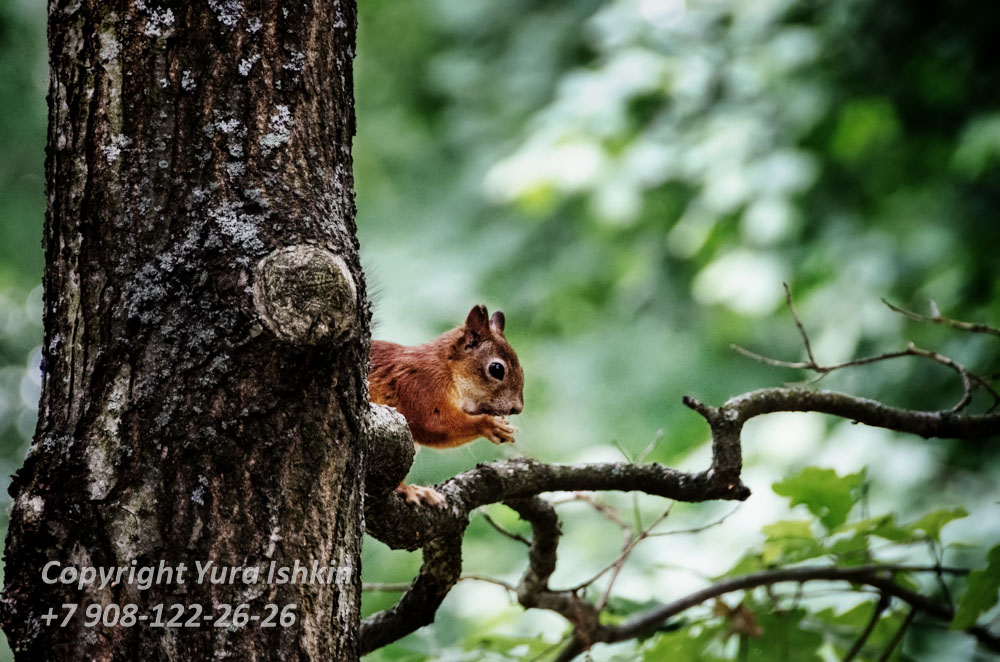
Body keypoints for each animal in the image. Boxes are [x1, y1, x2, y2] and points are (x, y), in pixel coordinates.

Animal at [368, 306, 524, 508]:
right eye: (496, 369)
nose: (518, 408)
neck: (446, 368)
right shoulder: (419, 387)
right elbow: (431, 424)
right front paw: (490, 424)